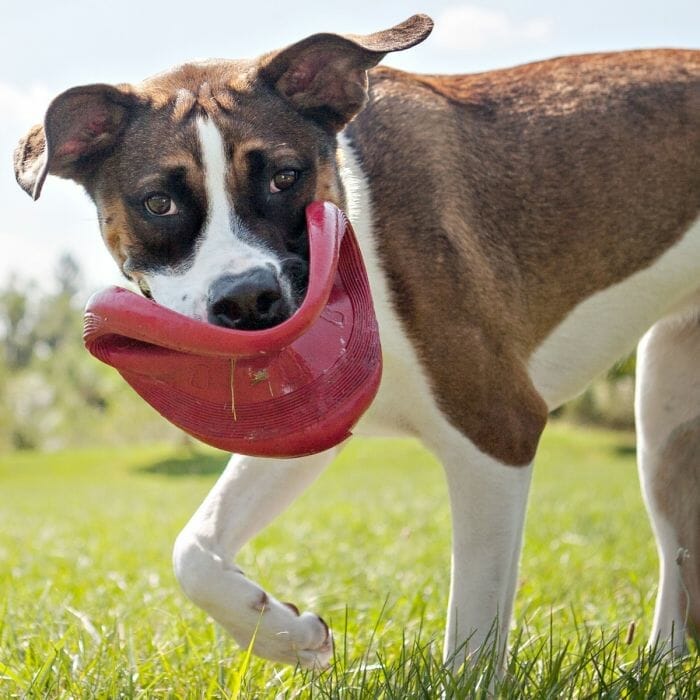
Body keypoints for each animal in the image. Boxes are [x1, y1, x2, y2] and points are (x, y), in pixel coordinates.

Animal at [13, 13, 696, 672]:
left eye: (285, 177)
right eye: (159, 202)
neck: (359, 236)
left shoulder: (497, 432)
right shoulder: (301, 425)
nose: (247, 299)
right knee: (680, 554)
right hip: (666, 412)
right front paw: (285, 636)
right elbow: (194, 551)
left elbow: (471, 640)